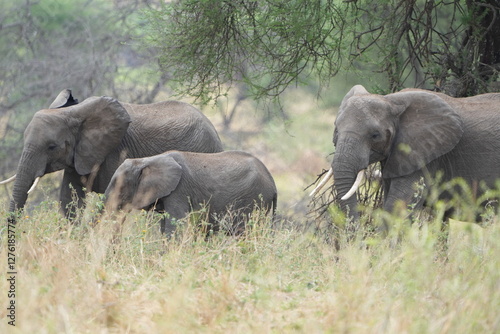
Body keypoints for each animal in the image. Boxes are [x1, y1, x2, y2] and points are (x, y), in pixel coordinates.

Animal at [104, 150, 278, 234]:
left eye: (119, 186)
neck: (146, 160)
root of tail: (273, 183)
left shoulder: (179, 191)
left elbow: (174, 225)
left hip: (254, 199)